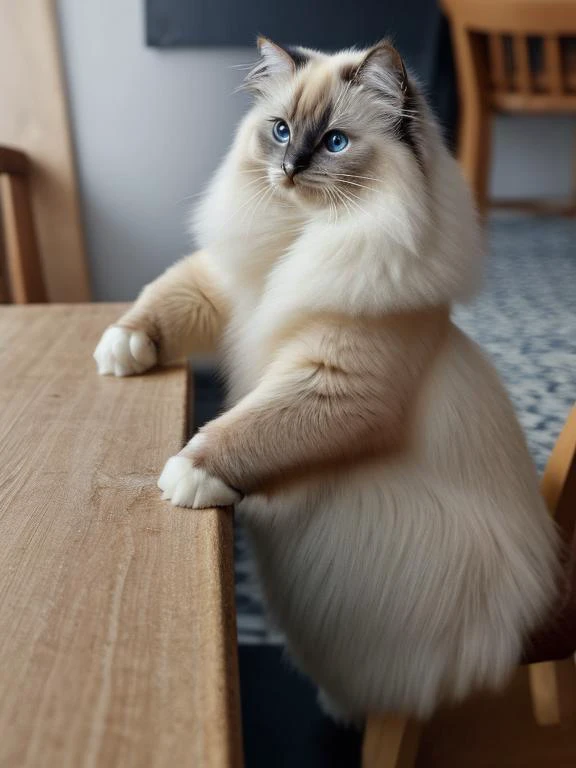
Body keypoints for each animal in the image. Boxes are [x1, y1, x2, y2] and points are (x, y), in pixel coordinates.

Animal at [93, 36, 560, 720]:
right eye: (281, 130)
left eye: (335, 142)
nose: (289, 168)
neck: (299, 239)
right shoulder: (225, 288)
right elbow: (160, 301)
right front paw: (122, 349)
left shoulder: (332, 382)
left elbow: (245, 428)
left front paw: (187, 475)